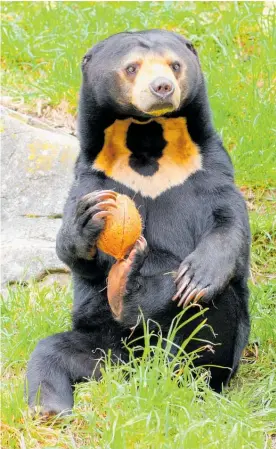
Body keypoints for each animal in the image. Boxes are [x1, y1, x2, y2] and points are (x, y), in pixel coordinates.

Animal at [25, 29, 250, 414]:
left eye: (175, 65)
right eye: (132, 68)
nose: (162, 87)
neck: (147, 139)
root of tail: (137, 372)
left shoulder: (209, 167)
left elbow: (230, 217)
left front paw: (199, 273)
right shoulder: (92, 176)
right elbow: (78, 254)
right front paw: (84, 221)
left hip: (209, 348)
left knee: (208, 314)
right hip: (102, 347)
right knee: (50, 354)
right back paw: (50, 408)